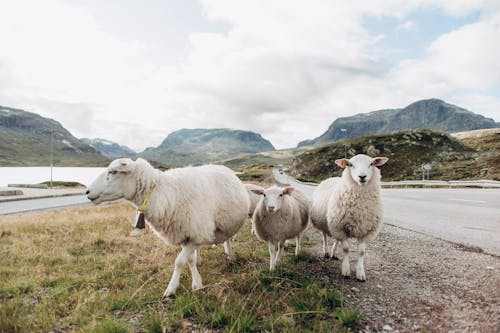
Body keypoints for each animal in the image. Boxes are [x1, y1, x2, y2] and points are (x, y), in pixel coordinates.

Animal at [87, 158, 250, 296]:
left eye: (113, 172)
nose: (87, 191)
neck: (162, 192)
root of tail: (224, 168)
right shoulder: (185, 235)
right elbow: (189, 260)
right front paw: (197, 283)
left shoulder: (197, 234)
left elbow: (179, 261)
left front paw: (171, 289)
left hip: (227, 223)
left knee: (227, 238)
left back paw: (230, 255)